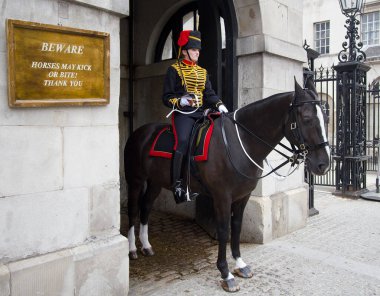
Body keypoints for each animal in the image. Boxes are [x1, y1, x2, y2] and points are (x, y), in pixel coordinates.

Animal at [124, 78, 330, 292]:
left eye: (326, 117)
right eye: (306, 118)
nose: (324, 164)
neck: (241, 142)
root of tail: (140, 132)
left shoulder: (242, 196)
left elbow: (236, 226)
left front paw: (240, 264)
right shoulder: (222, 197)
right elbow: (224, 230)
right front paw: (225, 273)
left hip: (155, 182)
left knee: (146, 207)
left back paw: (146, 245)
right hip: (135, 180)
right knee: (133, 209)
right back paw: (132, 249)